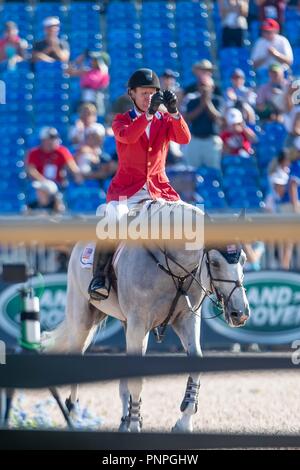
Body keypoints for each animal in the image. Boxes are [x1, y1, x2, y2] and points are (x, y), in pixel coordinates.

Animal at [42, 202, 251, 434]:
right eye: (214, 262)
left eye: (243, 259)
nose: (240, 313)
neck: (171, 267)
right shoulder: (138, 323)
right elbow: (137, 380)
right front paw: (135, 426)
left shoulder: (185, 318)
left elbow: (195, 361)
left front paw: (183, 422)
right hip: (83, 320)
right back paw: (74, 416)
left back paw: (122, 421)